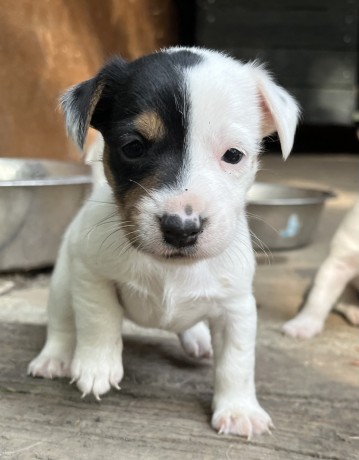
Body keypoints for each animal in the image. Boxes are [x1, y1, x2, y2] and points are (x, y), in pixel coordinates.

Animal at [28, 47, 300, 438]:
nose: (181, 228)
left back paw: (198, 338)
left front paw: (239, 410)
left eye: (234, 155)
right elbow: (99, 320)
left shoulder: (237, 308)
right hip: (64, 283)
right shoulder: (93, 276)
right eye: (133, 147)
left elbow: (237, 361)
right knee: (63, 323)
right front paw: (97, 366)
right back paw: (55, 358)